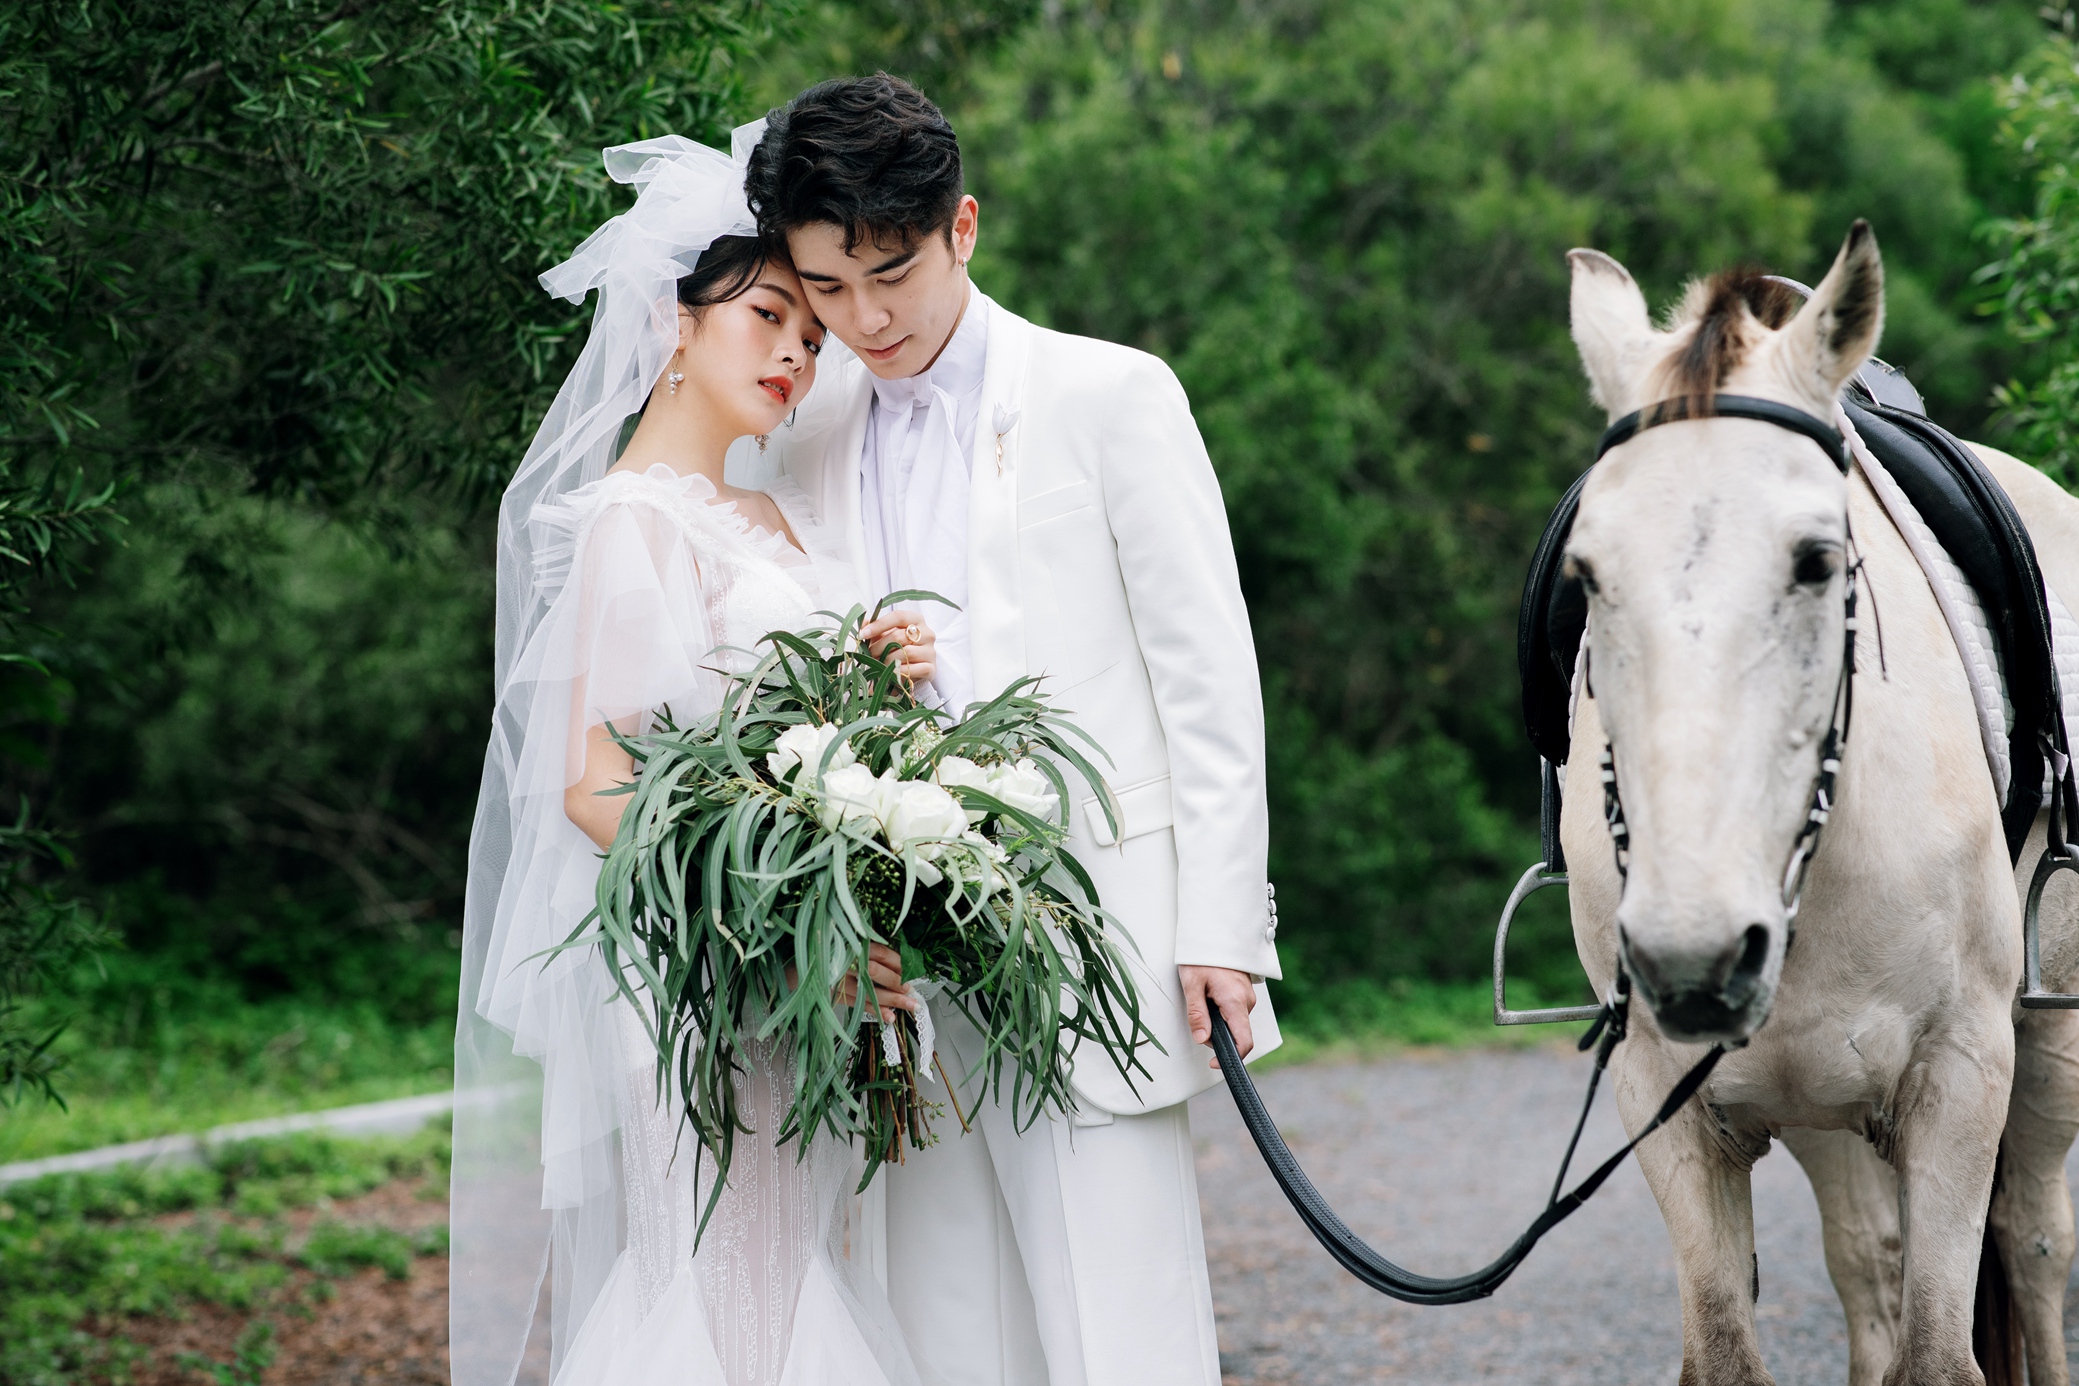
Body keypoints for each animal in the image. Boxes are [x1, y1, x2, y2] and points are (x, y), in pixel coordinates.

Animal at [1563, 222, 2079, 1379]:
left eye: (1815, 560)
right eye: (1586, 574)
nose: (1695, 960)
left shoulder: (1960, 1082)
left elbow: (1942, 1349)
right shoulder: (1667, 1102)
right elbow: (1728, 1347)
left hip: (2047, 1052)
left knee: (2034, 1243)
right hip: (1820, 1110)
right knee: (1867, 1265)